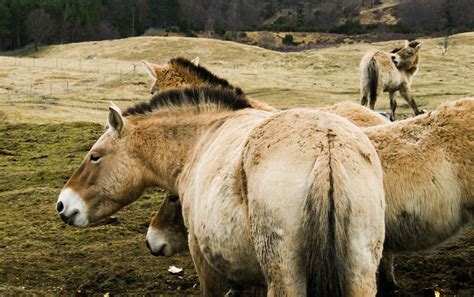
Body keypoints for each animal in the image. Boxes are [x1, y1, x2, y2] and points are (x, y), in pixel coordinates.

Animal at [57, 86, 386, 296]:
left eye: (95, 156)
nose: (62, 204)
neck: (203, 138)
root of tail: (325, 146)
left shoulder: (205, 262)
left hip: (285, 275)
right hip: (360, 272)